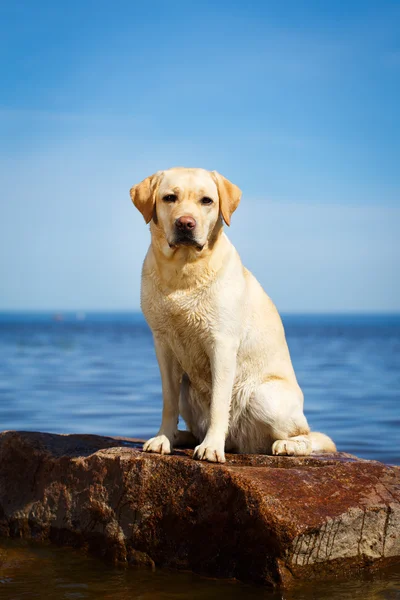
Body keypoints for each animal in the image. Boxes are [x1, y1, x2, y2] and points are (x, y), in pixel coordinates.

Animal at [130, 166, 334, 462]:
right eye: (169, 198)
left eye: (206, 201)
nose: (185, 223)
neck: (183, 271)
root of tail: (240, 442)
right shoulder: (163, 344)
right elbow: (168, 401)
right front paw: (164, 438)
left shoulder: (222, 343)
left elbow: (219, 402)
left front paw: (212, 447)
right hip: (188, 390)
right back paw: (183, 437)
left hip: (264, 397)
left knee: (308, 436)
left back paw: (287, 445)